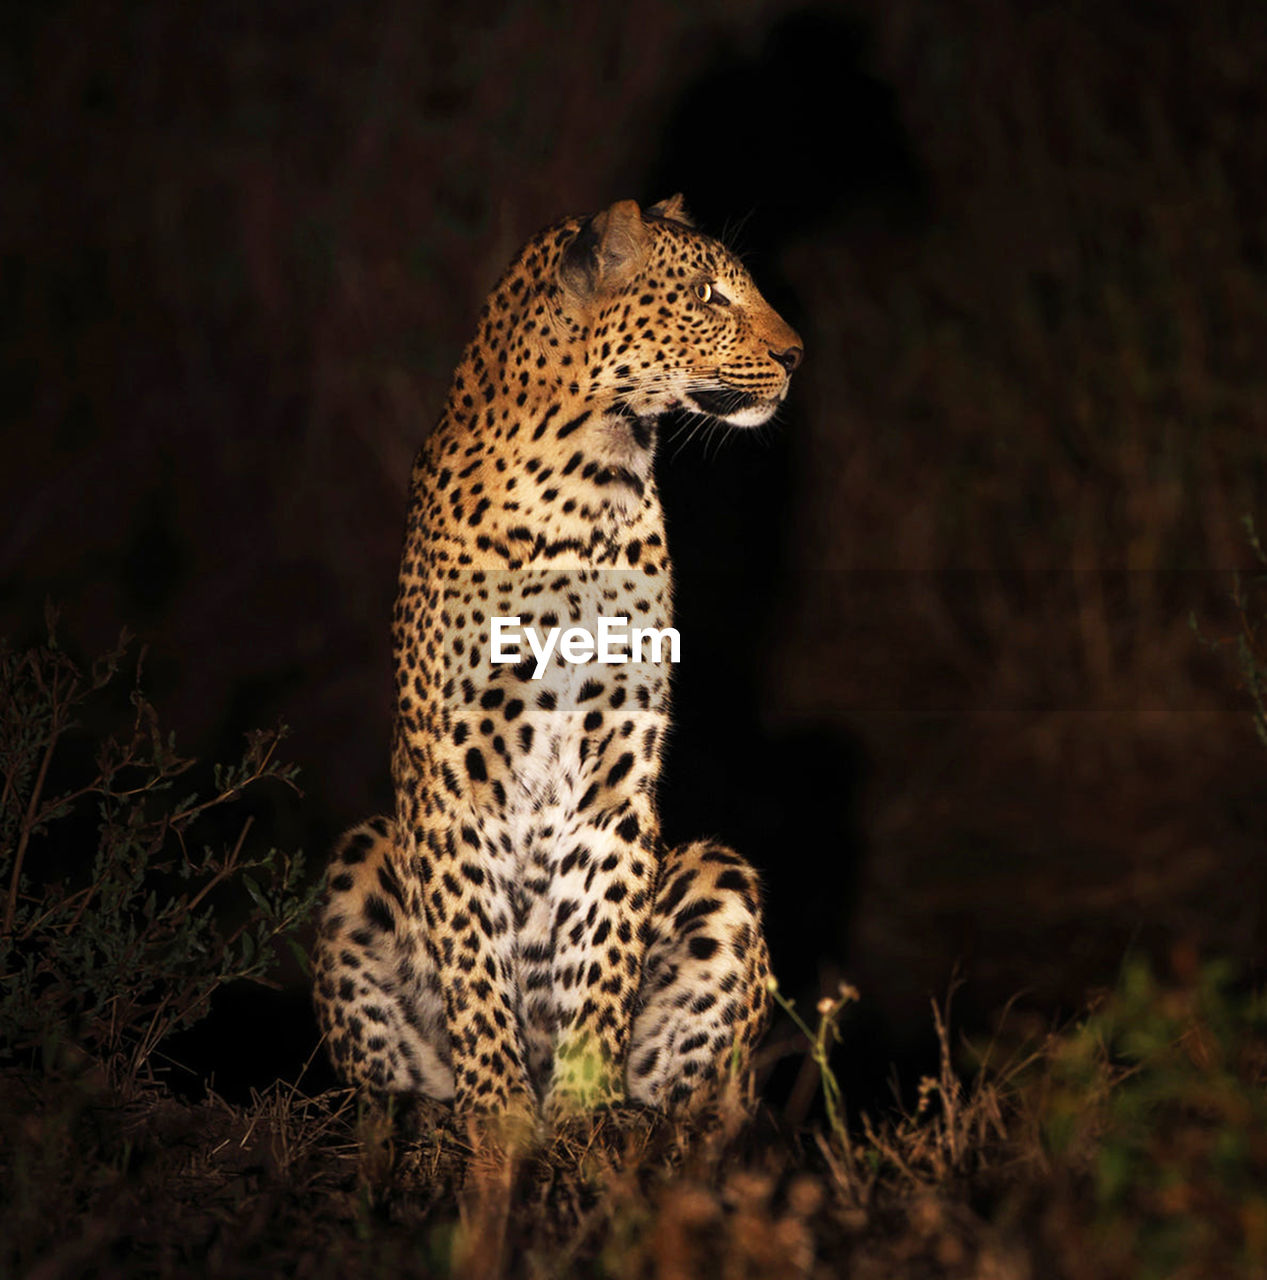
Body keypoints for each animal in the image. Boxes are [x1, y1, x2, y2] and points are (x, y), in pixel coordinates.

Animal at [314, 194, 803, 1126]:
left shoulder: (618, 770)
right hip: (362, 861)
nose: (796, 355)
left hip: (716, 873)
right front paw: (501, 1111)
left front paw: (585, 1105)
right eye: (707, 295)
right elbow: (473, 954)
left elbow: (602, 942)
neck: (591, 479)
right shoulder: (452, 775)